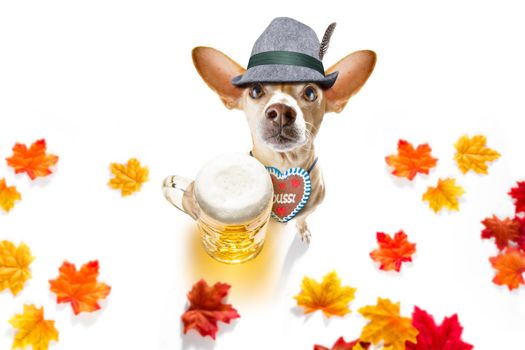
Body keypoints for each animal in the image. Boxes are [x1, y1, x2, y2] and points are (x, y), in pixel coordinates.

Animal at [190, 43, 374, 243]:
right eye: (255, 90)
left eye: (310, 93)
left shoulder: (309, 209)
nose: (280, 111)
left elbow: (301, 218)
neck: (284, 164)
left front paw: (302, 229)